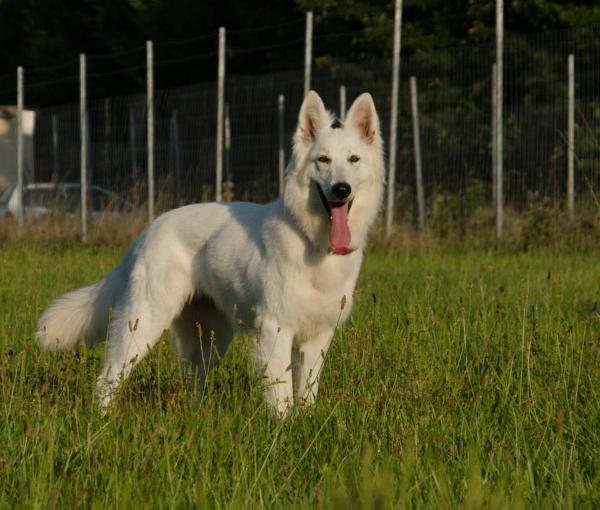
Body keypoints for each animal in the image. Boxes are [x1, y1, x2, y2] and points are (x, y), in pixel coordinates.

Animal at [36, 90, 384, 418]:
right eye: (323, 160)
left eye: (353, 159)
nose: (341, 189)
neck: (311, 241)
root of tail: (147, 231)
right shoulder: (275, 330)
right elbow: (281, 395)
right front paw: (284, 430)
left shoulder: (317, 338)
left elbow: (306, 394)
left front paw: (305, 424)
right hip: (145, 321)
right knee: (109, 376)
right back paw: (103, 420)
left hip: (211, 338)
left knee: (192, 382)